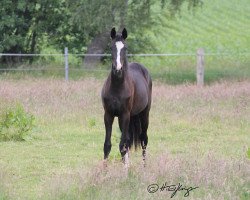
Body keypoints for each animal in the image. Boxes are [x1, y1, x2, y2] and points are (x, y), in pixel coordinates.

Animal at [101, 27, 152, 166]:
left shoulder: (124, 115)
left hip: (144, 113)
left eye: (126, 48)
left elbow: (122, 145)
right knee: (129, 141)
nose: (118, 69)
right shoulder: (108, 115)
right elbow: (107, 145)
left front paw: (125, 170)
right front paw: (104, 170)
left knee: (144, 139)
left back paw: (144, 166)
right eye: (111, 47)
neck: (117, 87)